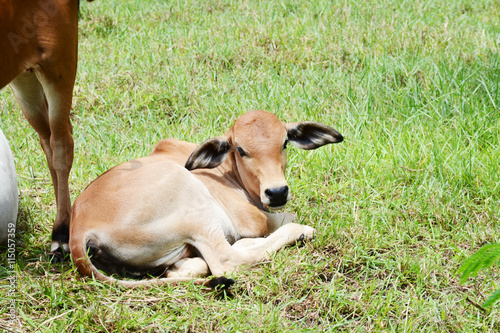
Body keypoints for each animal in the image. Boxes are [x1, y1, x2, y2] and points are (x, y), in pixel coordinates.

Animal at [69, 110, 344, 286]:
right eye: (240, 149)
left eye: (285, 142)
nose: (277, 192)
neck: (226, 172)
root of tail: (79, 228)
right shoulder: (251, 218)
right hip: (193, 203)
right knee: (226, 260)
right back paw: (301, 232)